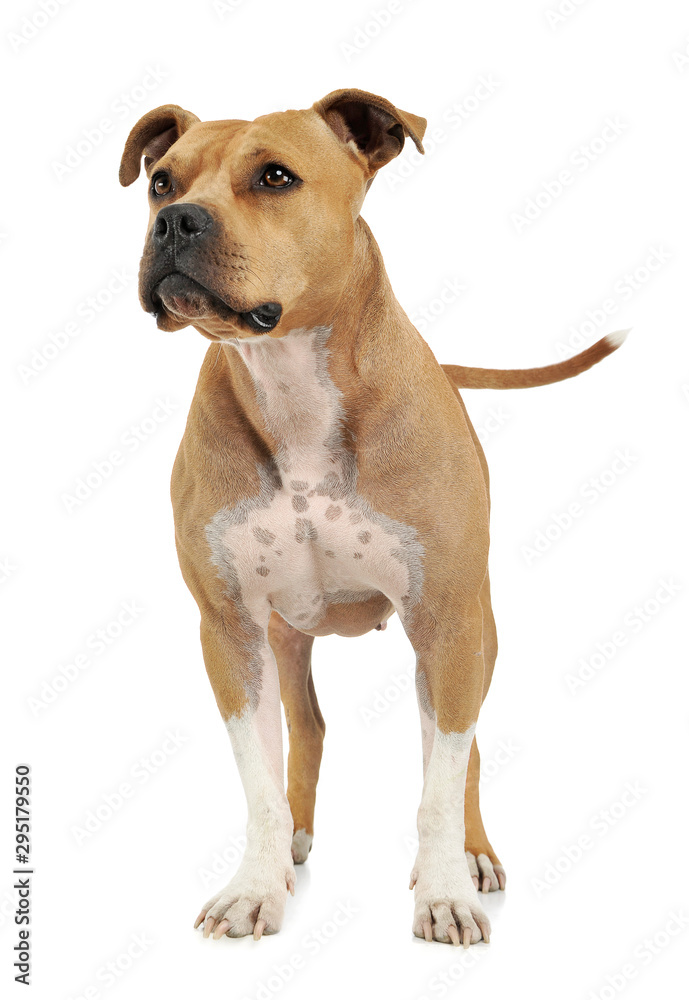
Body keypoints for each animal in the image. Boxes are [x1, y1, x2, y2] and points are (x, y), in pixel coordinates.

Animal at [119, 90, 628, 948]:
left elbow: (441, 778)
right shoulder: (229, 630)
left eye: (275, 176)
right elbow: (257, 778)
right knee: (307, 728)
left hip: (472, 637)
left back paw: (470, 855)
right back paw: (296, 842)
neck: (291, 384)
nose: (176, 221)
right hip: (285, 638)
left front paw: (444, 892)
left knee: (462, 748)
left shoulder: (447, 622)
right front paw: (255, 888)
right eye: (161, 182)